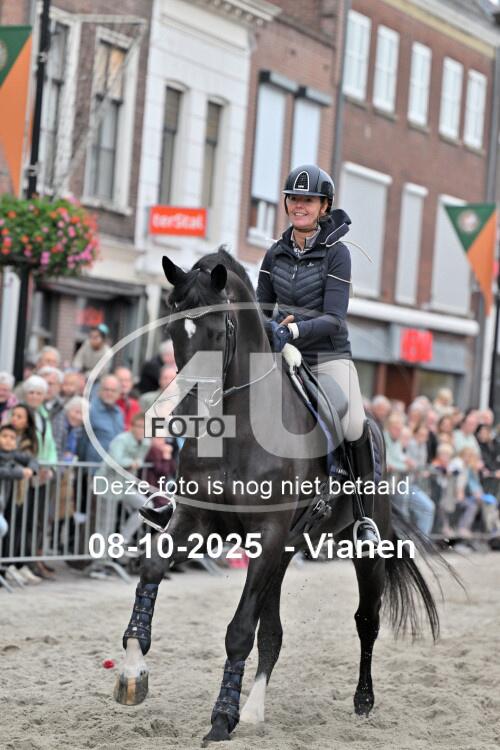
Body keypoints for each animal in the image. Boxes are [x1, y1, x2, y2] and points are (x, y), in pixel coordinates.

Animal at [114, 247, 441, 744]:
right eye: (173, 329)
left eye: (217, 331)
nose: (185, 413)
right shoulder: (200, 522)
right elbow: (153, 566)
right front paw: (133, 671)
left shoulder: (266, 534)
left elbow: (238, 630)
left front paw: (220, 719)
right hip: (284, 552)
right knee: (273, 633)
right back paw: (254, 709)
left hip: (361, 550)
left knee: (366, 620)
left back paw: (362, 701)